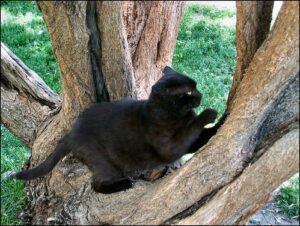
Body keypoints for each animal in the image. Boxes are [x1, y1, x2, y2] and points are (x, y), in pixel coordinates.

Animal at [15, 66, 220, 193]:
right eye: (189, 92)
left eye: (196, 87)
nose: (201, 95)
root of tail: (71, 133)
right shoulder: (170, 148)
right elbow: (190, 130)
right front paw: (209, 114)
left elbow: (201, 137)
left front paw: (220, 123)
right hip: (107, 164)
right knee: (96, 185)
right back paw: (124, 184)